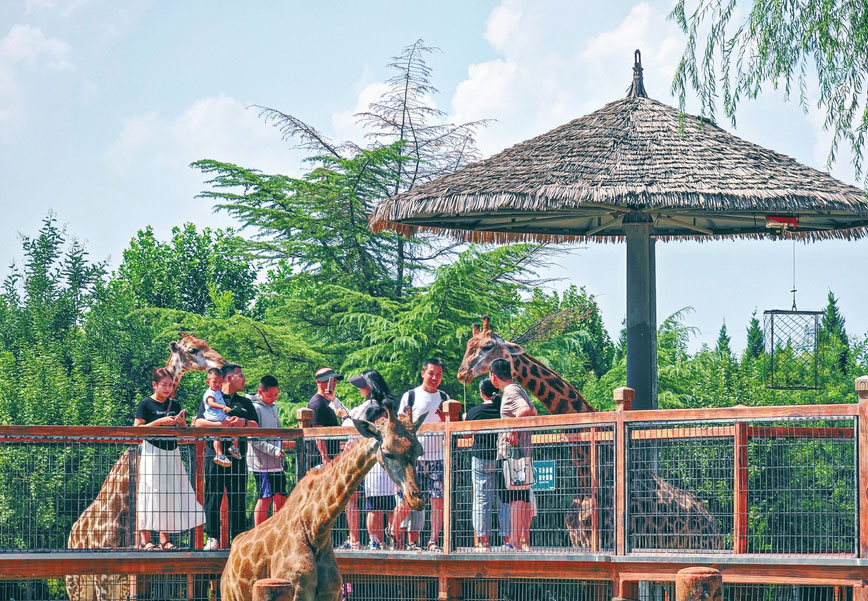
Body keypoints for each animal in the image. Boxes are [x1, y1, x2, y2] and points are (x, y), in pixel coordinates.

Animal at [66, 332, 225, 600]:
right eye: (192, 349)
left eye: (206, 342)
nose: (223, 363)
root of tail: (70, 537)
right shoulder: (106, 576)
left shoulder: (124, 580)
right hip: (77, 583)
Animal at [220, 404, 428, 600]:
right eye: (388, 452)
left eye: (419, 451)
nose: (416, 499)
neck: (316, 527)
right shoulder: (295, 592)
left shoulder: (333, 593)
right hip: (231, 595)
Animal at [458, 316, 724, 552]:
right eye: (468, 345)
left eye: (488, 346)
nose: (462, 373)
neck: (587, 477)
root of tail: (714, 524)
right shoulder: (581, 542)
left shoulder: (607, 543)